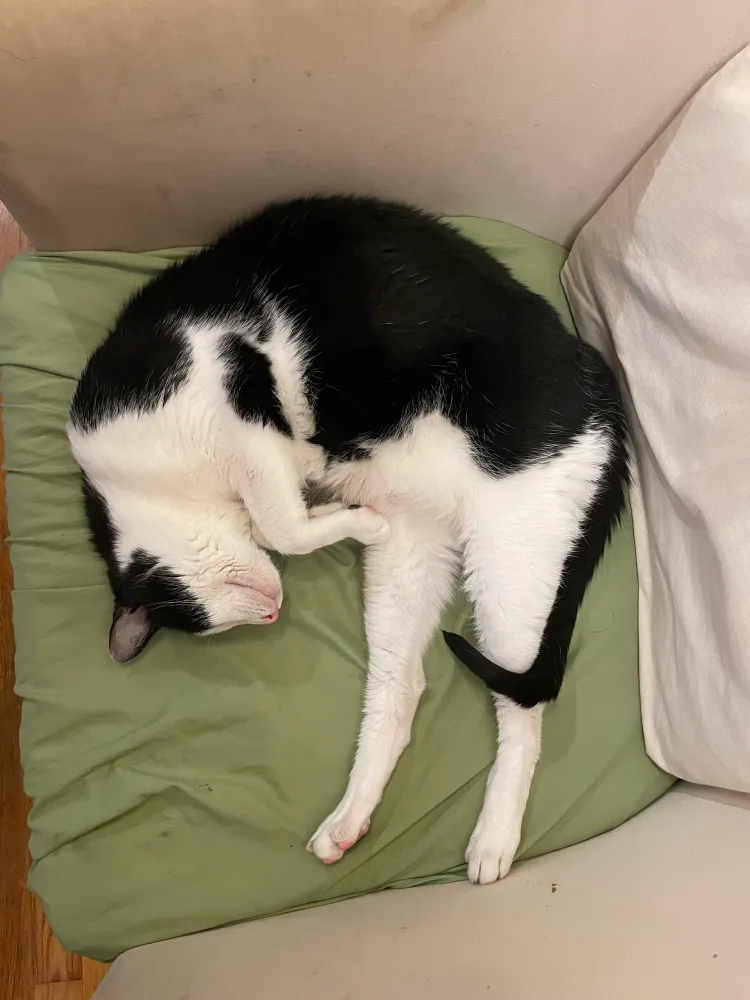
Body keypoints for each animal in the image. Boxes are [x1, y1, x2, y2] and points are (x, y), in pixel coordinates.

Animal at [68, 195, 628, 883]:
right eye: (224, 624)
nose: (273, 609)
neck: (131, 482)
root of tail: (601, 379)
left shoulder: (227, 388)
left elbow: (280, 523)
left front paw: (343, 514)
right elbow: (281, 521)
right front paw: (341, 510)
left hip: (512, 549)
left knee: (523, 705)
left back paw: (493, 840)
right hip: (409, 562)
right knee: (401, 687)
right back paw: (347, 821)